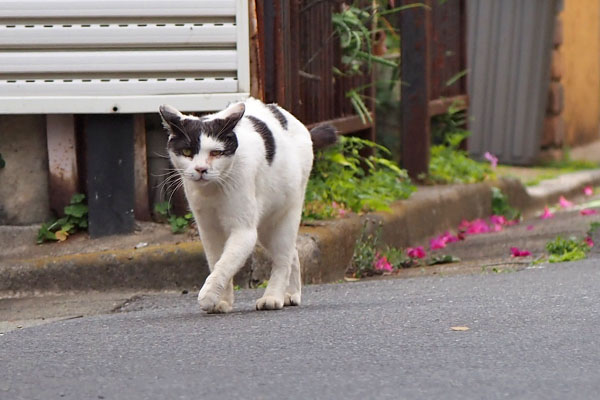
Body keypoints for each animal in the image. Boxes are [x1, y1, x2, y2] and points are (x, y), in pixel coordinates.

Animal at [159, 97, 338, 312]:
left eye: (216, 153)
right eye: (187, 152)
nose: (201, 169)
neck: (212, 191)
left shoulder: (244, 231)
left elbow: (225, 264)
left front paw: (209, 296)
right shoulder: (208, 230)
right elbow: (216, 261)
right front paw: (222, 301)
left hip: (285, 215)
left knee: (283, 258)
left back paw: (273, 297)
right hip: (266, 227)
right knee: (292, 252)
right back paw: (291, 294)